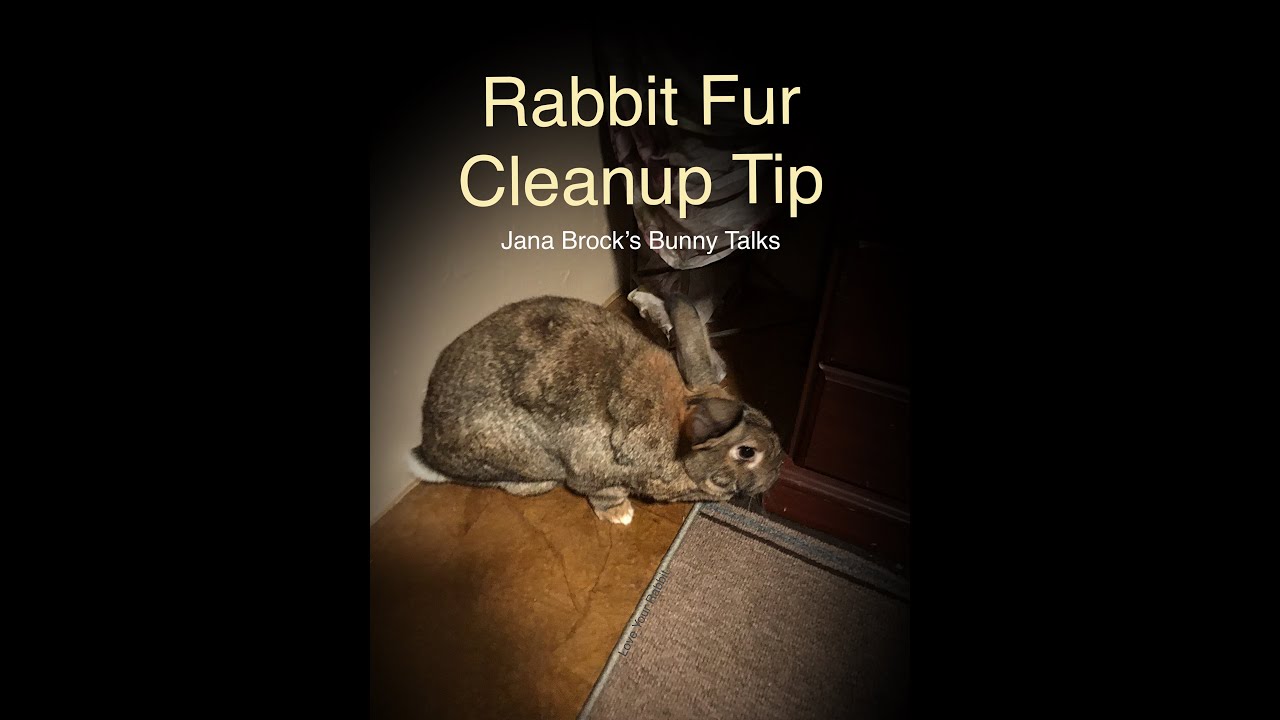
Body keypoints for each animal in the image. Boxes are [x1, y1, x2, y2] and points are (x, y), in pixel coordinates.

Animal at [406, 295, 783, 524]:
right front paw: (621, 515)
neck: (680, 442)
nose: (779, 471)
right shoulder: (594, 469)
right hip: (526, 460)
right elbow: (603, 491)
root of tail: (428, 448)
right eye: (747, 452)